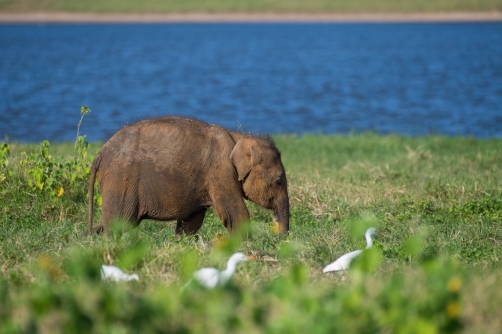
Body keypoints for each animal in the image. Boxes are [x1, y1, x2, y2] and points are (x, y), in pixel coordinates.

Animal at [86, 116, 290, 239]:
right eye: (279, 180)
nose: (280, 241)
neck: (239, 136)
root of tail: (100, 153)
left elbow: (190, 221)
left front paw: (181, 242)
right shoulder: (221, 172)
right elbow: (235, 213)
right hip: (121, 181)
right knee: (119, 224)